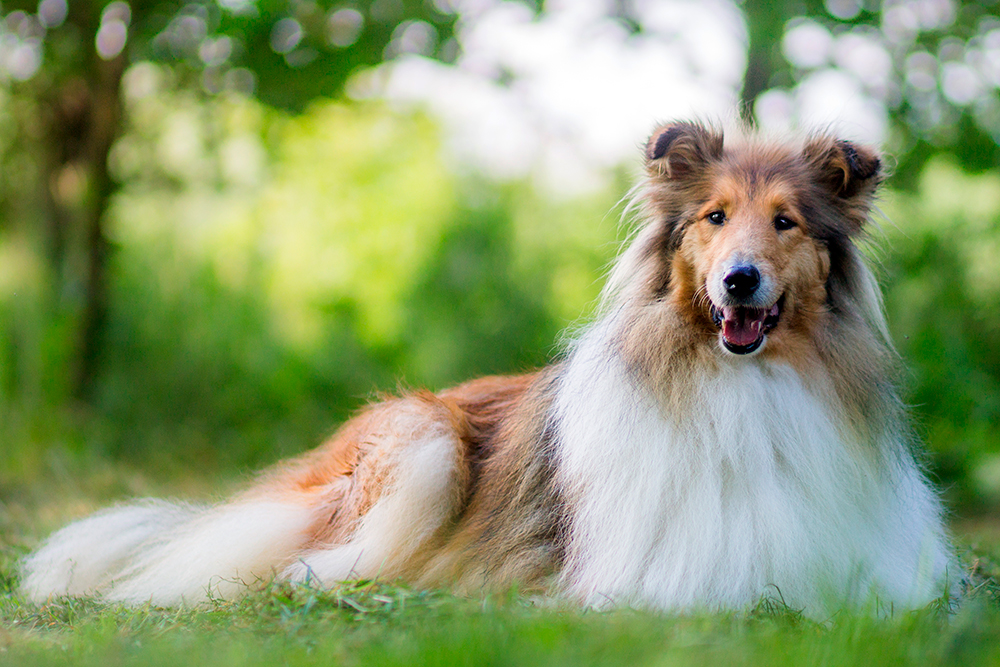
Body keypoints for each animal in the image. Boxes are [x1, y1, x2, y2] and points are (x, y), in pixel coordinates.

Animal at [23, 122, 956, 620]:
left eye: (787, 221)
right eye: (715, 218)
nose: (740, 281)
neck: (743, 387)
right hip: (423, 443)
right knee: (294, 565)